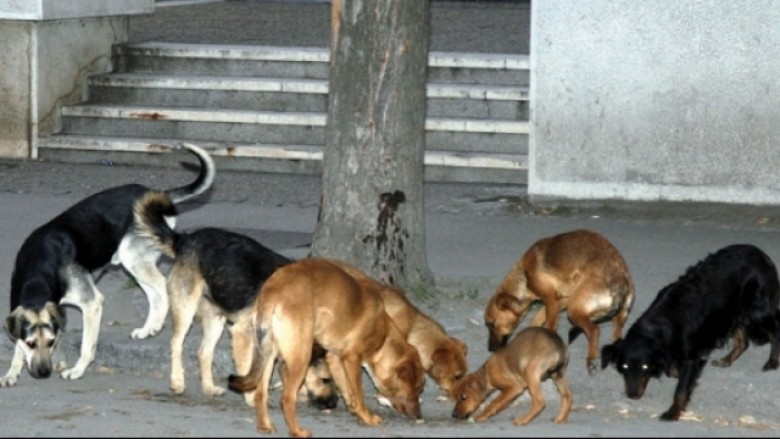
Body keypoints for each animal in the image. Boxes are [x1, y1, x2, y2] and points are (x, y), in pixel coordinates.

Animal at [1, 143, 215, 386]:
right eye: (30, 343)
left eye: (52, 341)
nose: (44, 373)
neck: (40, 270)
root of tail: (158, 194)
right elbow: (17, 347)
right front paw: (12, 372)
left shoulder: (92, 303)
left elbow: (87, 345)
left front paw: (77, 370)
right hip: (134, 262)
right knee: (154, 295)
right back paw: (148, 329)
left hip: (133, 257)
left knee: (163, 286)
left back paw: (158, 324)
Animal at [225, 258, 426, 439]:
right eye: (417, 388)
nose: (419, 416)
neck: (384, 338)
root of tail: (274, 288)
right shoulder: (352, 358)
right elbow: (358, 393)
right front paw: (367, 417)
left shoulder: (336, 359)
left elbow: (348, 391)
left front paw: (357, 413)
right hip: (301, 357)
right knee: (287, 398)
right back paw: (297, 431)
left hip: (268, 354)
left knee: (260, 394)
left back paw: (265, 426)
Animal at [484, 229, 636, 376]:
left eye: (491, 324)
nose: (490, 348)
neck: (524, 276)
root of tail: (621, 282)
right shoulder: (561, 300)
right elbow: (537, 318)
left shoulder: (551, 299)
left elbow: (549, 325)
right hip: (609, 317)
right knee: (616, 336)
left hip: (573, 309)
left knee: (594, 330)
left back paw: (591, 359)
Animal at [604, 246, 780, 422]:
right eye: (624, 367)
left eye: (645, 367)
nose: (632, 395)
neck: (658, 325)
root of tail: (759, 253)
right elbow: (674, 369)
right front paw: (676, 372)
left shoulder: (691, 357)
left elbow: (681, 389)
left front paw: (673, 412)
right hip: (731, 311)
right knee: (743, 341)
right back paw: (726, 360)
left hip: (757, 310)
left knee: (775, 331)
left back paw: (772, 362)